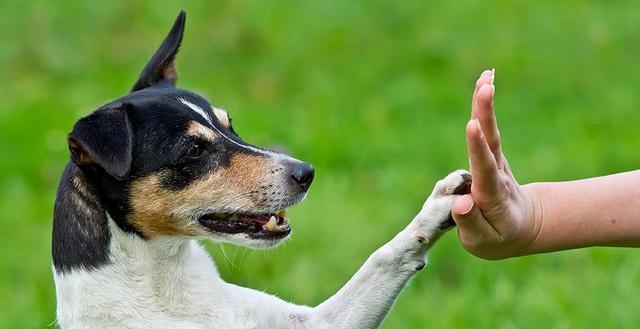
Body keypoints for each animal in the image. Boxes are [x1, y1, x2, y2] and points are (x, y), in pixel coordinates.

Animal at [52, 10, 472, 328]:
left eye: (230, 124)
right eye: (193, 150)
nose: (306, 172)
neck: (166, 284)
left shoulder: (318, 322)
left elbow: (384, 257)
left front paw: (437, 208)